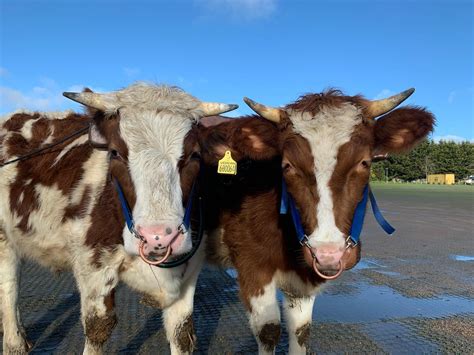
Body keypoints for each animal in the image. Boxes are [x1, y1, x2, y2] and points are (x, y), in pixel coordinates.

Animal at [0, 82, 237, 354]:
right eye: (115, 153)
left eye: (194, 155)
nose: (157, 238)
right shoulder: (92, 265)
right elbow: (98, 327)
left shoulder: (189, 269)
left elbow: (181, 331)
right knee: (9, 284)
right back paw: (14, 342)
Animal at [198, 88, 436, 354]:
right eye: (287, 165)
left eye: (364, 162)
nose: (328, 255)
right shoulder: (253, 266)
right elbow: (268, 331)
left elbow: (301, 330)